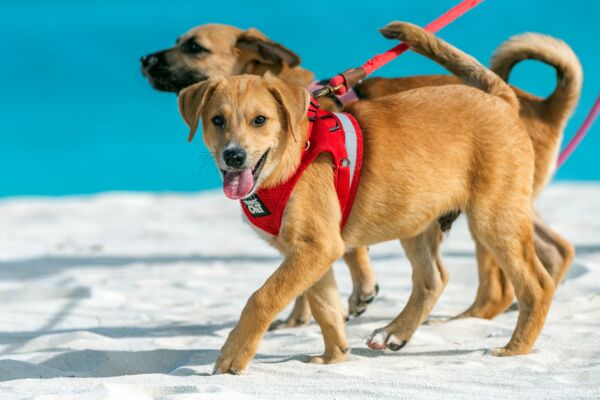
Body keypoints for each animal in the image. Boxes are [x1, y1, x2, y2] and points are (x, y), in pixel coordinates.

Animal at [142, 23, 580, 326]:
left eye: (194, 47)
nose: (144, 60)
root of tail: (523, 102)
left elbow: (344, 257)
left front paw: (350, 297)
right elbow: (316, 278)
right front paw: (306, 316)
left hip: (487, 214)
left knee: (501, 284)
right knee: (554, 251)